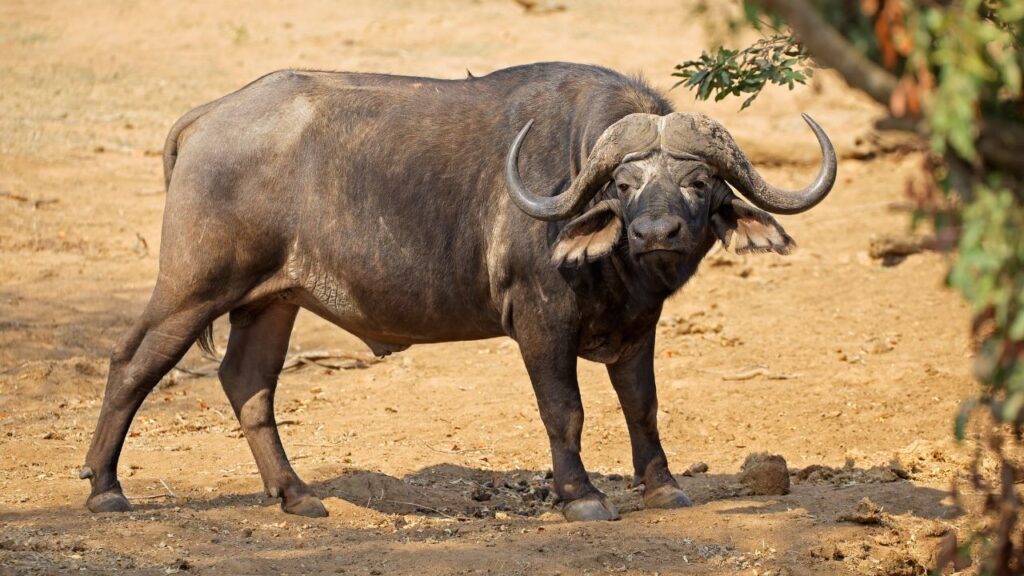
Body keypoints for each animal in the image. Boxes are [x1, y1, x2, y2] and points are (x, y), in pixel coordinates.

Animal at [80, 62, 836, 521]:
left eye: (698, 182)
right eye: (624, 184)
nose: (656, 232)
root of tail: (207, 117)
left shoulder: (636, 326)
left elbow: (643, 408)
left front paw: (664, 488)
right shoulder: (540, 322)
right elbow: (565, 412)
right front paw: (581, 496)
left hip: (273, 302)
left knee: (248, 383)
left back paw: (296, 495)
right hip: (193, 286)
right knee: (132, 362)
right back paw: (106, 489)